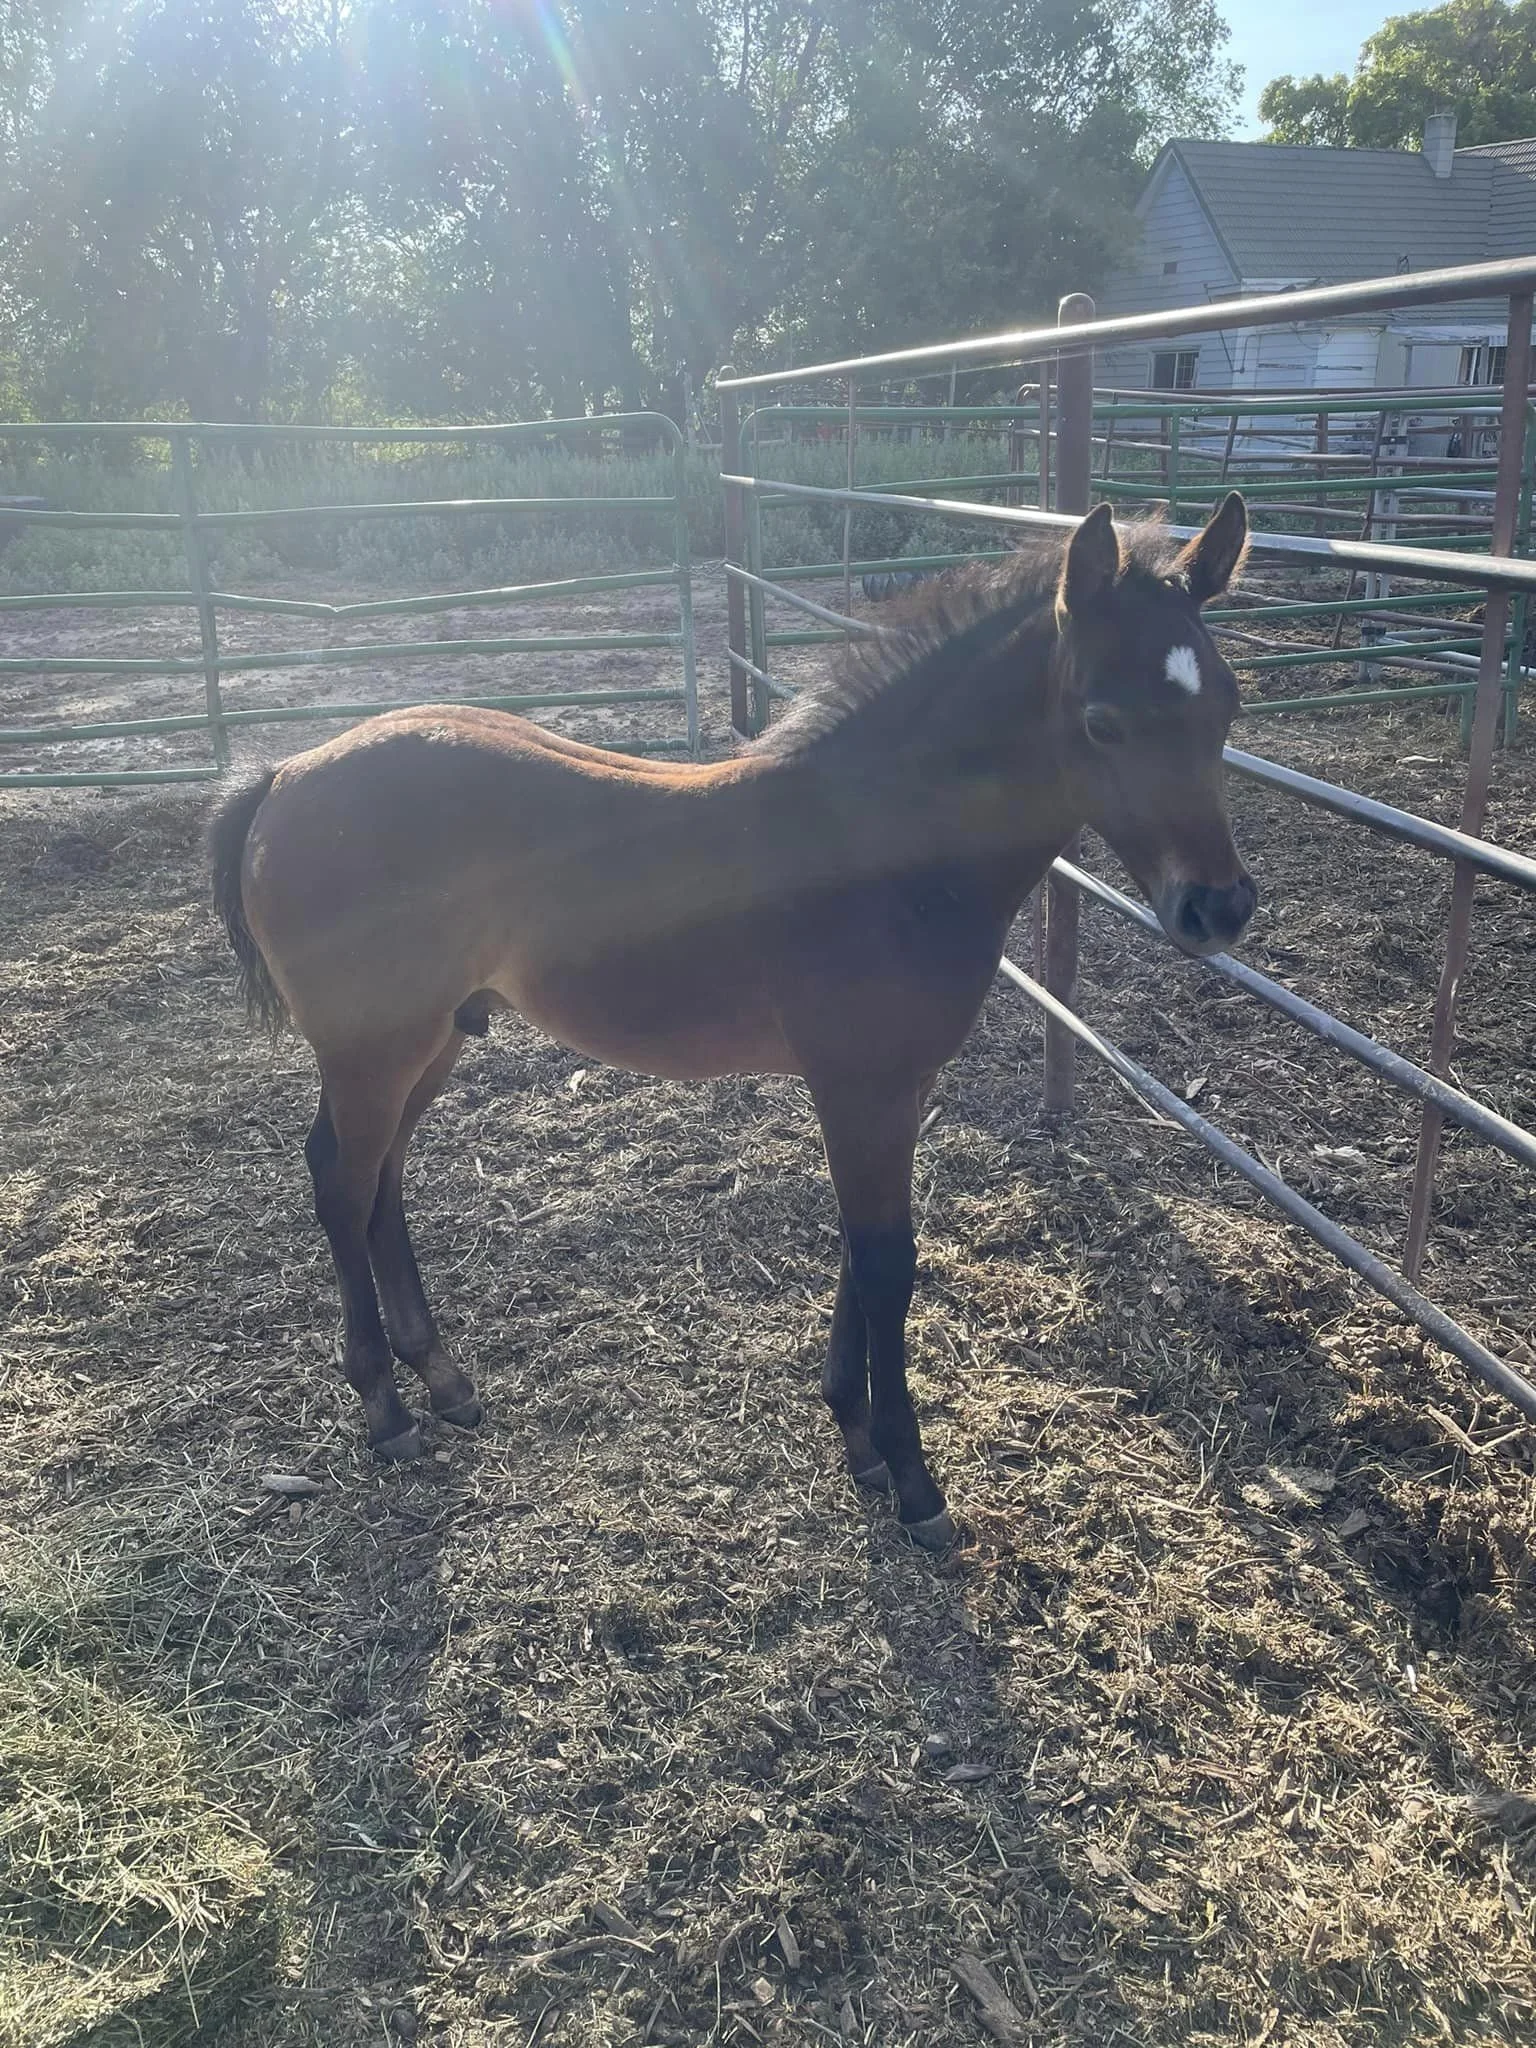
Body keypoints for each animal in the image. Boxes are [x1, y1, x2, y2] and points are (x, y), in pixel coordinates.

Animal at [208, 495, 1256, 1549]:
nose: (1220, 909)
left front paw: (856, 1435)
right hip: (373, 1047)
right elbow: (887, 1261)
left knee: (379, 1179)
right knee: (341, 1181)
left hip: (427, 1040)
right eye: (1102, 721)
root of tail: (286, 771)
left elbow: (864, 1247)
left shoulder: (892, 1088)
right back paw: (384, 1409)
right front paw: (914, 1483)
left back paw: (444, 1380)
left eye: (1228, 705)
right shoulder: (861, 1087)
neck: (879, 849)